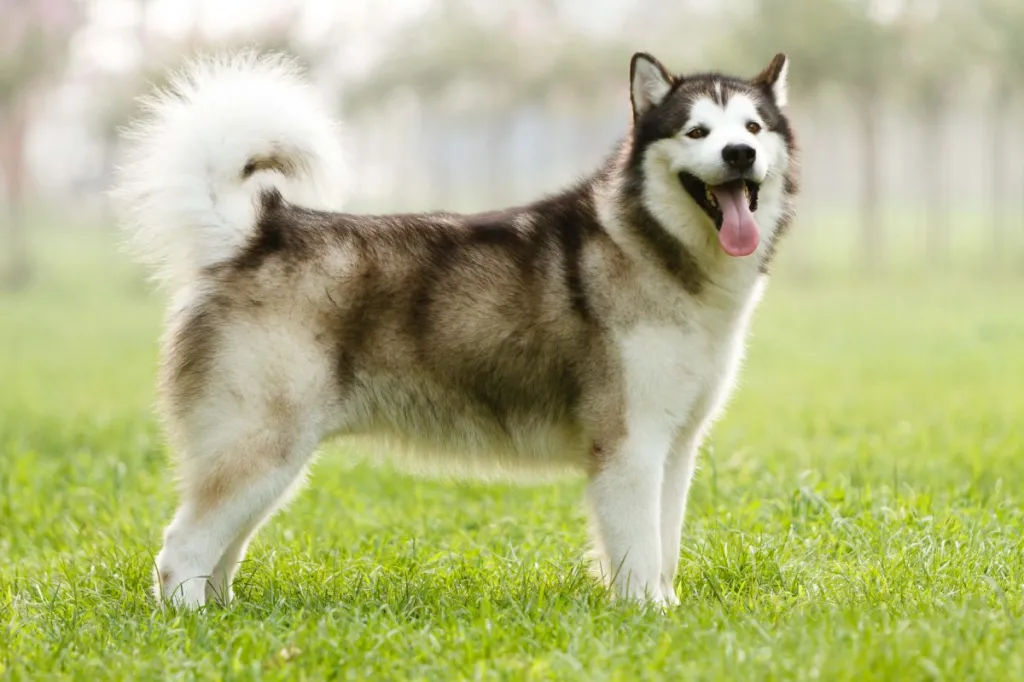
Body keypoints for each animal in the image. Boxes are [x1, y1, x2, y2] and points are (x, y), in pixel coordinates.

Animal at [114, 51, 798, 606]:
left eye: (753, 128)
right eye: (697, 131)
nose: (739, 155)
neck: (658, 250)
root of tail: (259, 230)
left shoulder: (675, 446)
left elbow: (665, 547)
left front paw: (670, 610)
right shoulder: (628, 445)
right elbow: (636, 553)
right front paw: (645, 618)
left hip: (270, 462)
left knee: (218, 550)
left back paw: (226, 616)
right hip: (261, 445)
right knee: (181, 549)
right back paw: (193, 625)